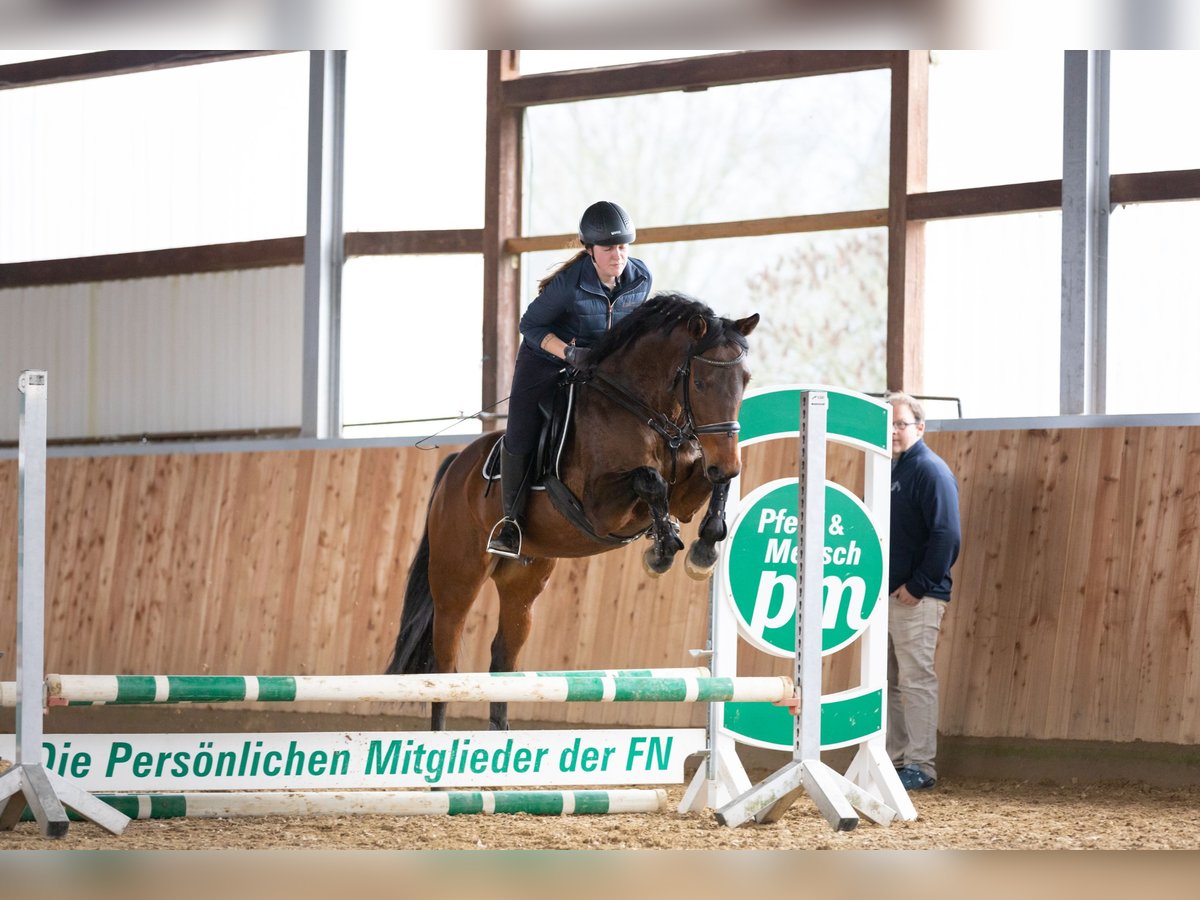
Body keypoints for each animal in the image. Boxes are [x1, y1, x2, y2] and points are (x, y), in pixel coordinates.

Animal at [386, 296, 758, 734]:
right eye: (700, 383)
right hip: (457, 578)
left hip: (524, 581)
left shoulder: (689, 489)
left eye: (745, 379)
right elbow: (650, 481)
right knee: (444, 664)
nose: (728, 462)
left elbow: (705, 486)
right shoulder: (600, 509)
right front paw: (663, 548)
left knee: (503, 657)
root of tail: (454, 467)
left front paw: (702, 551)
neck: (644, 411)